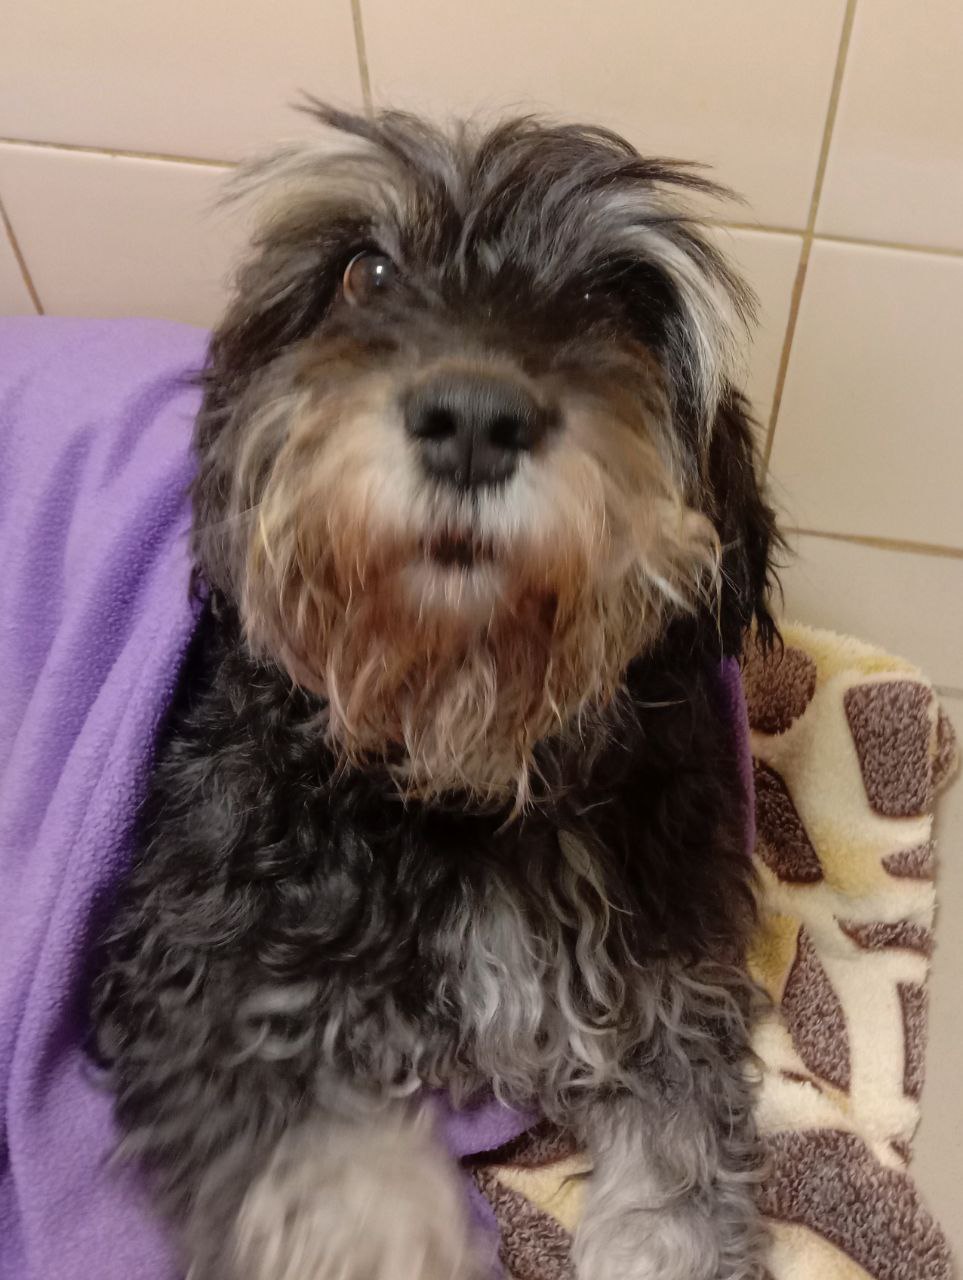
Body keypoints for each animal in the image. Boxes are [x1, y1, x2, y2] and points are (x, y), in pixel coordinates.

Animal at [92, 103, 779, 1280]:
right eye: (364, 270)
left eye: (614, 301)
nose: (473, 416)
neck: (459, 766)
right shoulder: (204, 978)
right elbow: (338, 1186)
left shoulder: (665, 978)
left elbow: (683, 1170)